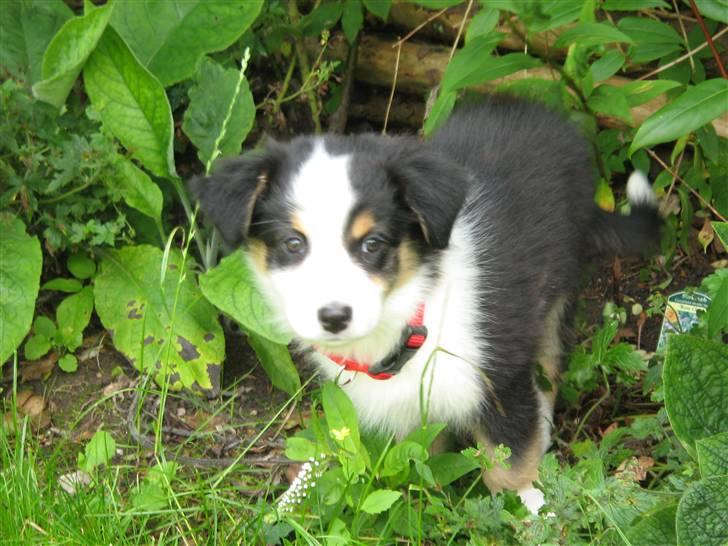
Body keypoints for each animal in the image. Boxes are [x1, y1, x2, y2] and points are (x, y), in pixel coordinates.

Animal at [191, 96, 664, 510]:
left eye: (373, 244)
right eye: (293, 244)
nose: (334, 317)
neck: (410, 321)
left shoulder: (500, 376)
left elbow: (509, 464)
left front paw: (531, 514)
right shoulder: (410, 416)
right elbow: (422, 461)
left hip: (556, 289)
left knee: (548, 364)